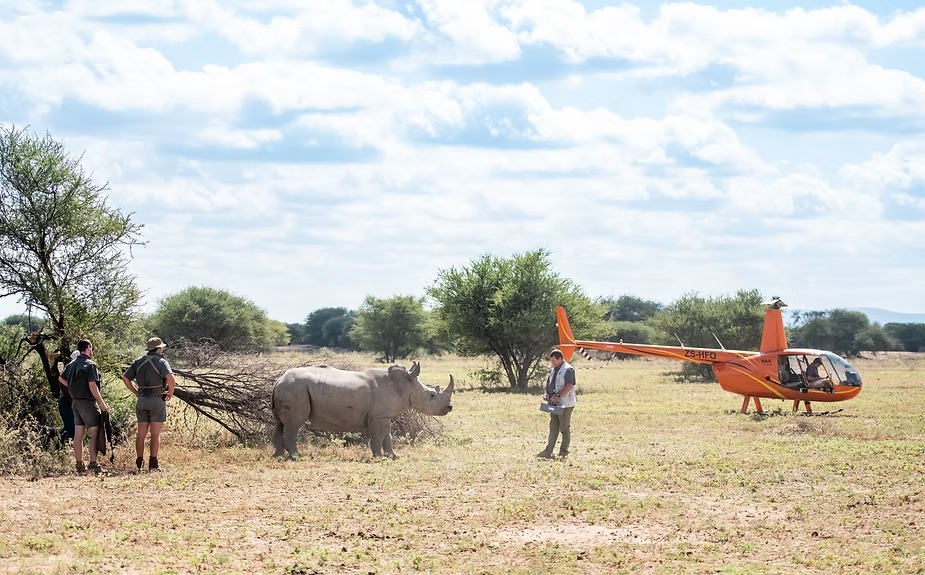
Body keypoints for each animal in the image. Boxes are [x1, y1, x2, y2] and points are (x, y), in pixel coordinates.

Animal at [270, 361, 454, 459]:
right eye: (432, 395)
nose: (450, 407)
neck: (405, 386)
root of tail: (279, 379)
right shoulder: (378, 416)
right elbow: (379, 436)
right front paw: (378, 456)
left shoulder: (383, 415)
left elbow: (387, 436)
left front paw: (394, 456)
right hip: (294, 388)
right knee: (293, 425)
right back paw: (295, 456)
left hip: (288, 388)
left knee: (280, 424)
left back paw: (278, 455)